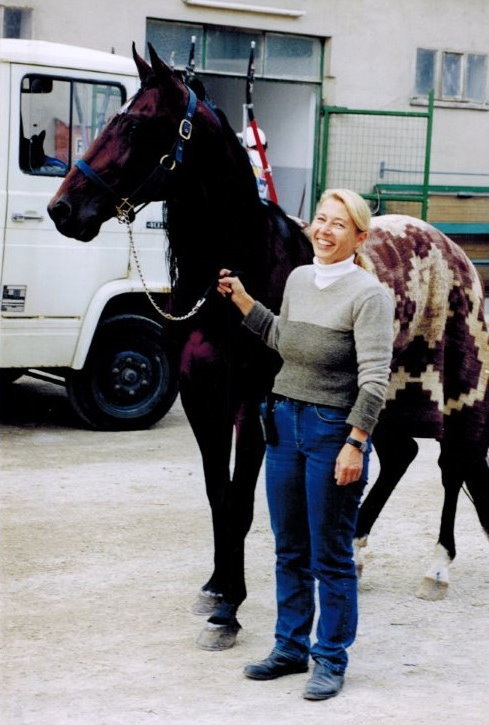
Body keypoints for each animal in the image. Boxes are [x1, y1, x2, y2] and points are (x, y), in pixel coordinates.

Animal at [48, 45, 488, 652]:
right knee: (403, 456)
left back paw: (437, 568)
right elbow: (218, 495)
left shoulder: (252, 404)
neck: (243, 270)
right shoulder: (201, 400)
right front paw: (215, 586)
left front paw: (228, 611)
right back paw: (356, 551)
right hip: (385, 395)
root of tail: (453, 249)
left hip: (455, 391)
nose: (63, 210)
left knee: (454, 463)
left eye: (134, 124)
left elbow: (239, 500)